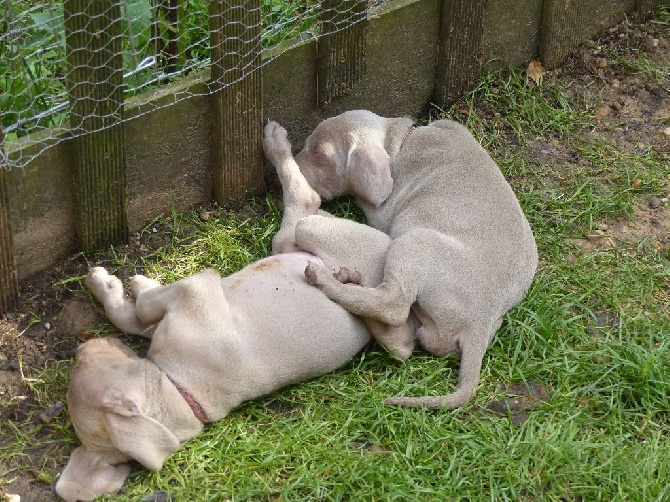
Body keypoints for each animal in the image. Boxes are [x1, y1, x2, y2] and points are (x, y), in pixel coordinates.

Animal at [266, 110, 540, 408]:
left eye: (321, 154)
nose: (271, 186)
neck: (400, 142)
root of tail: (480, 321)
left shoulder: (382, 212)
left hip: (414, 242)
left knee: (393, 306)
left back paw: (329, 281)